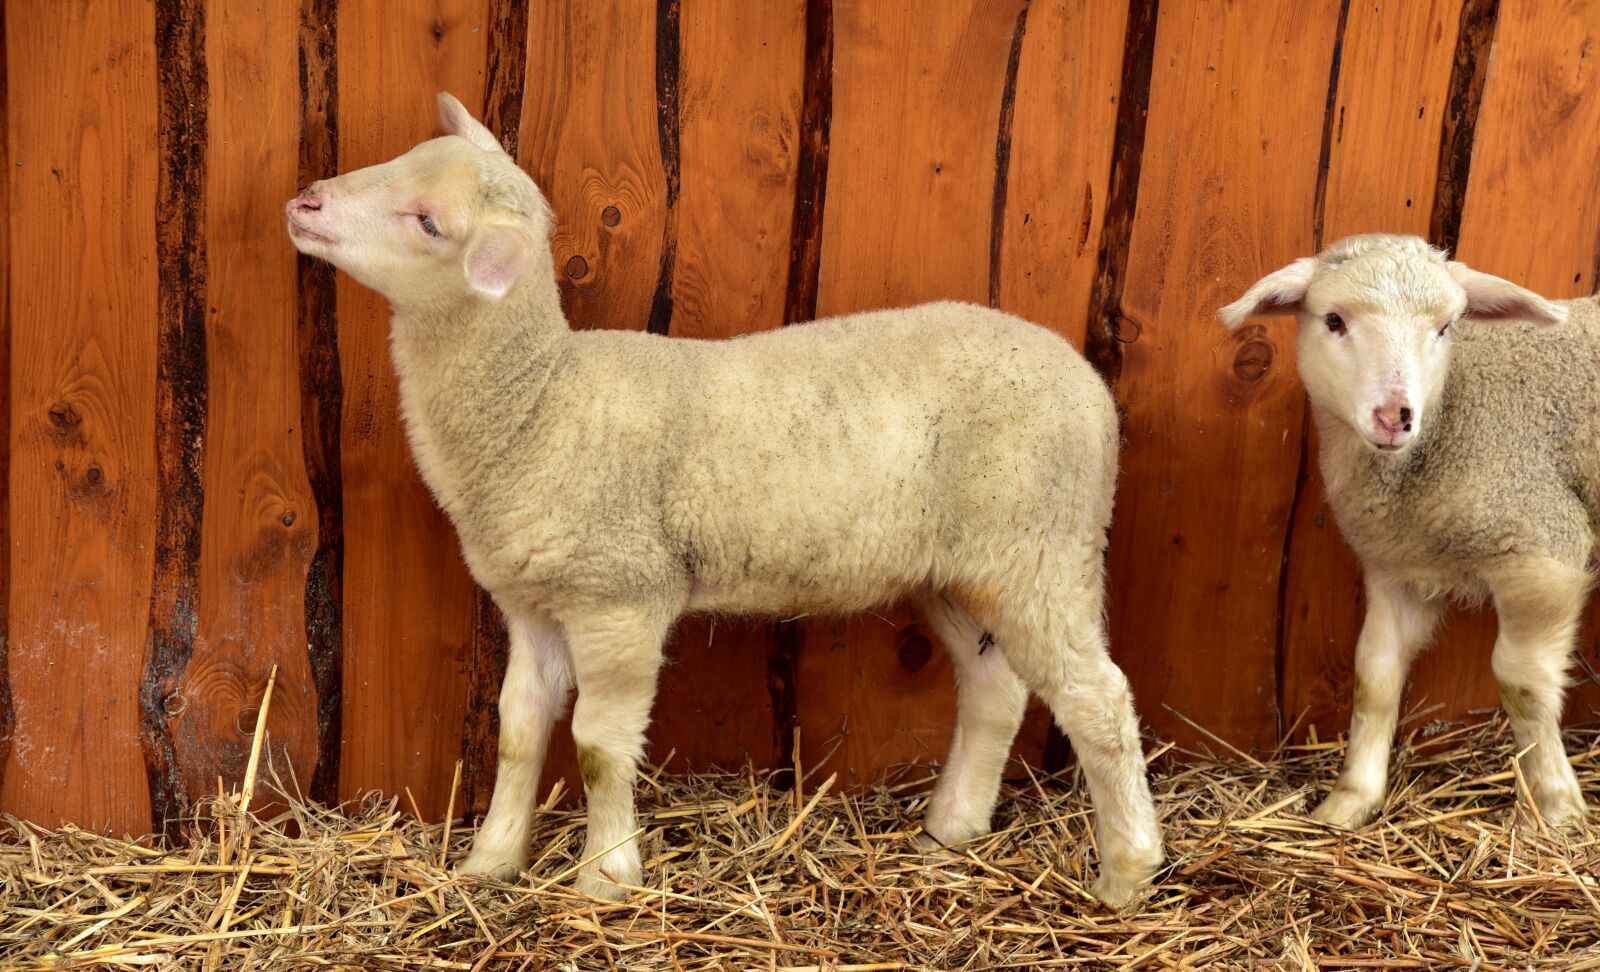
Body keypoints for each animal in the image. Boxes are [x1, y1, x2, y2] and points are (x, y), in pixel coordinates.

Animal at [283, 93, 1162, 905]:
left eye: (429, 223)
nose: (305, 203)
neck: (540, 399)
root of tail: (1089, 384)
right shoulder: (534, 602)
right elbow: (519, 732)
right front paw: (490, 864)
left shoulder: (621, 596)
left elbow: (598, 746)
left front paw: (605, 879)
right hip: (960, 570)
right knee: (995, 689)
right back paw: (952, 829)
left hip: (1042, 551)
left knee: (1100, 702)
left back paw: (1127, 873)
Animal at [1220, 232, 1595, 830]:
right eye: (1333, 320)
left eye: (1445, 328)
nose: (1395, 416)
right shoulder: (1400, 568)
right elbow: (1374, 678)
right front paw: (1348, 802)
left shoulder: (1543, 548)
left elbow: (1522, 684)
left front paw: (1556, 808)